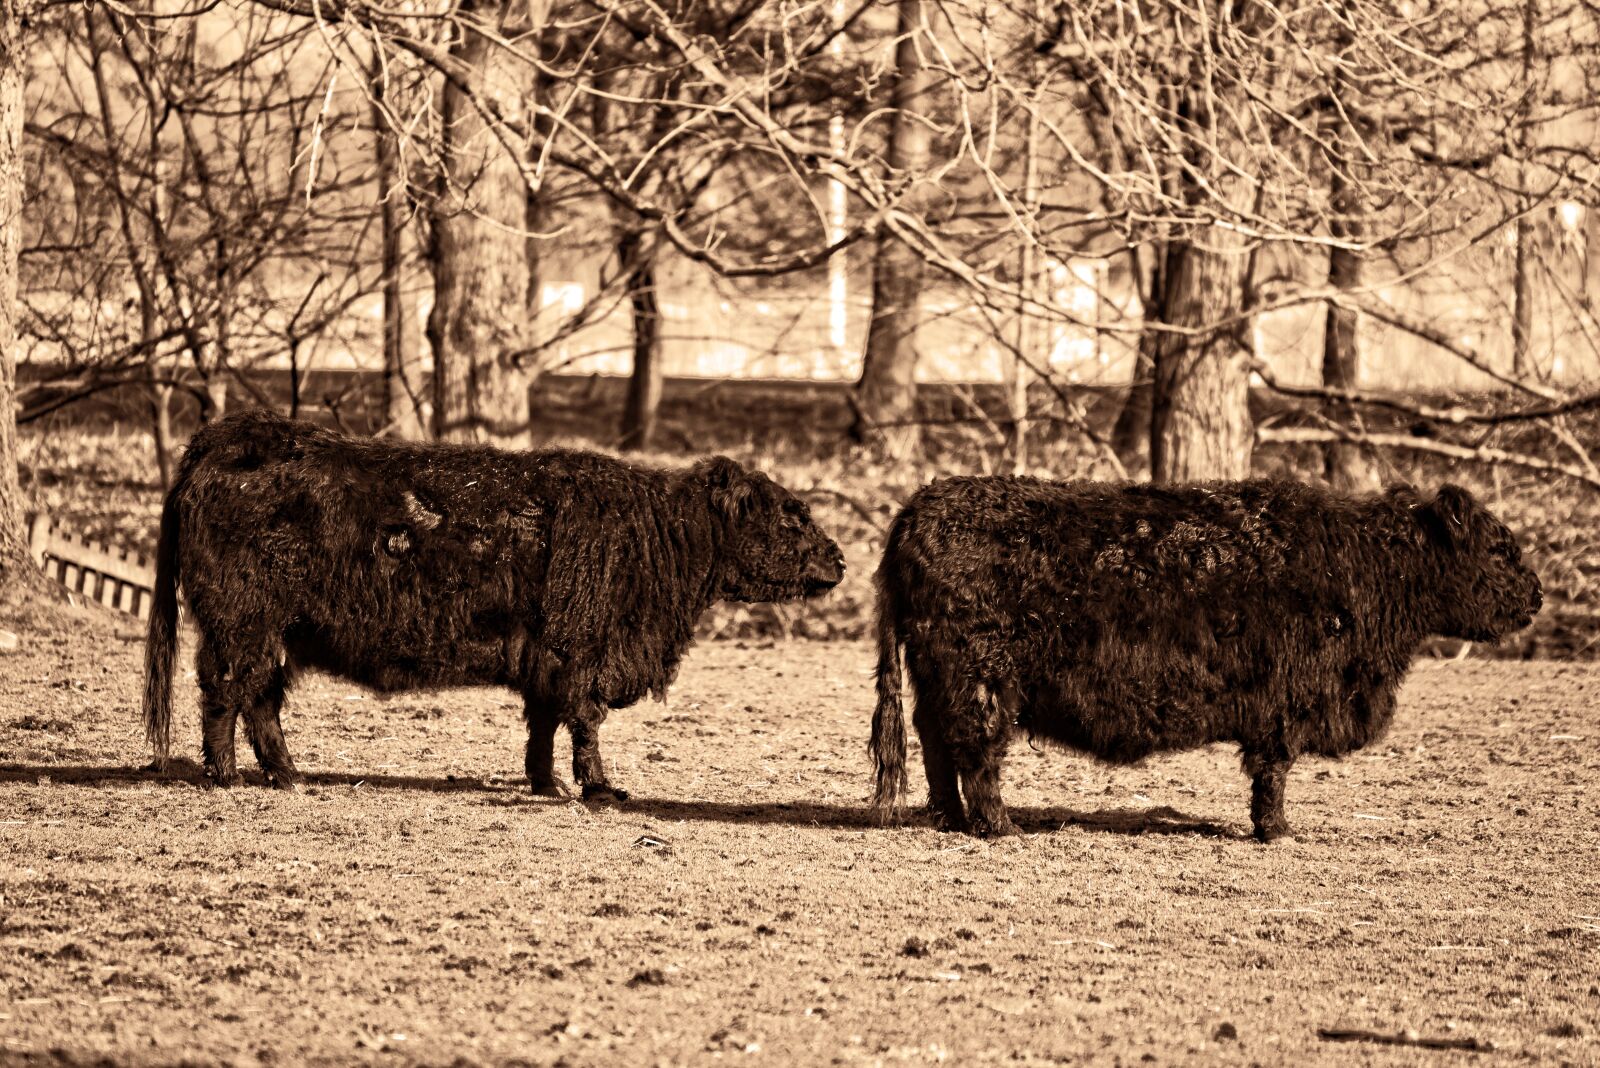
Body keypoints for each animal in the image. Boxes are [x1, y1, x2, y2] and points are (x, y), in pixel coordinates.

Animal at [143, 408, 845, 800]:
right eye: (791, 515)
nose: (839, 559)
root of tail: (235, 435)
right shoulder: (581, 654)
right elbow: (583, 723)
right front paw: (598, 788)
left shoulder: (549, 661)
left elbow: (544, 725)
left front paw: (546, 783)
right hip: (242, 622)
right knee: (225, 692)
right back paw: (227, 775)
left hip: (275, 631)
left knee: (260, 699)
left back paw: (288, 774)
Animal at [869, 477, 1541, 842]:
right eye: (1499, 547)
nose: (1537, 594)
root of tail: (918, 508)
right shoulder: (1284, 702)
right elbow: (1272, 773)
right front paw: (1276, 831)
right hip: (980, 676)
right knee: (975, 750)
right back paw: (997, 826)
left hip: (937, 675)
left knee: (934, 743)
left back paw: (952, 819)